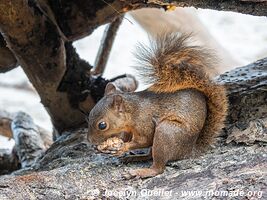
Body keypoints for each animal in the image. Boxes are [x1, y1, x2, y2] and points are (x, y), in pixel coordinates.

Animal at [87, 32, 228, 178]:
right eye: (89, 114)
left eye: (102, 125)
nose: (90, 141)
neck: (133, 111)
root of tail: (189, 151)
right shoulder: (128, 129)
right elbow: (126, 137)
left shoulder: (144, 122)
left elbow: (144, 140)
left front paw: (123, 147)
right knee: (150, 155)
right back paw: (134, 158)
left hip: (166, 132)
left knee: (158, 166)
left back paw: (144, 171)